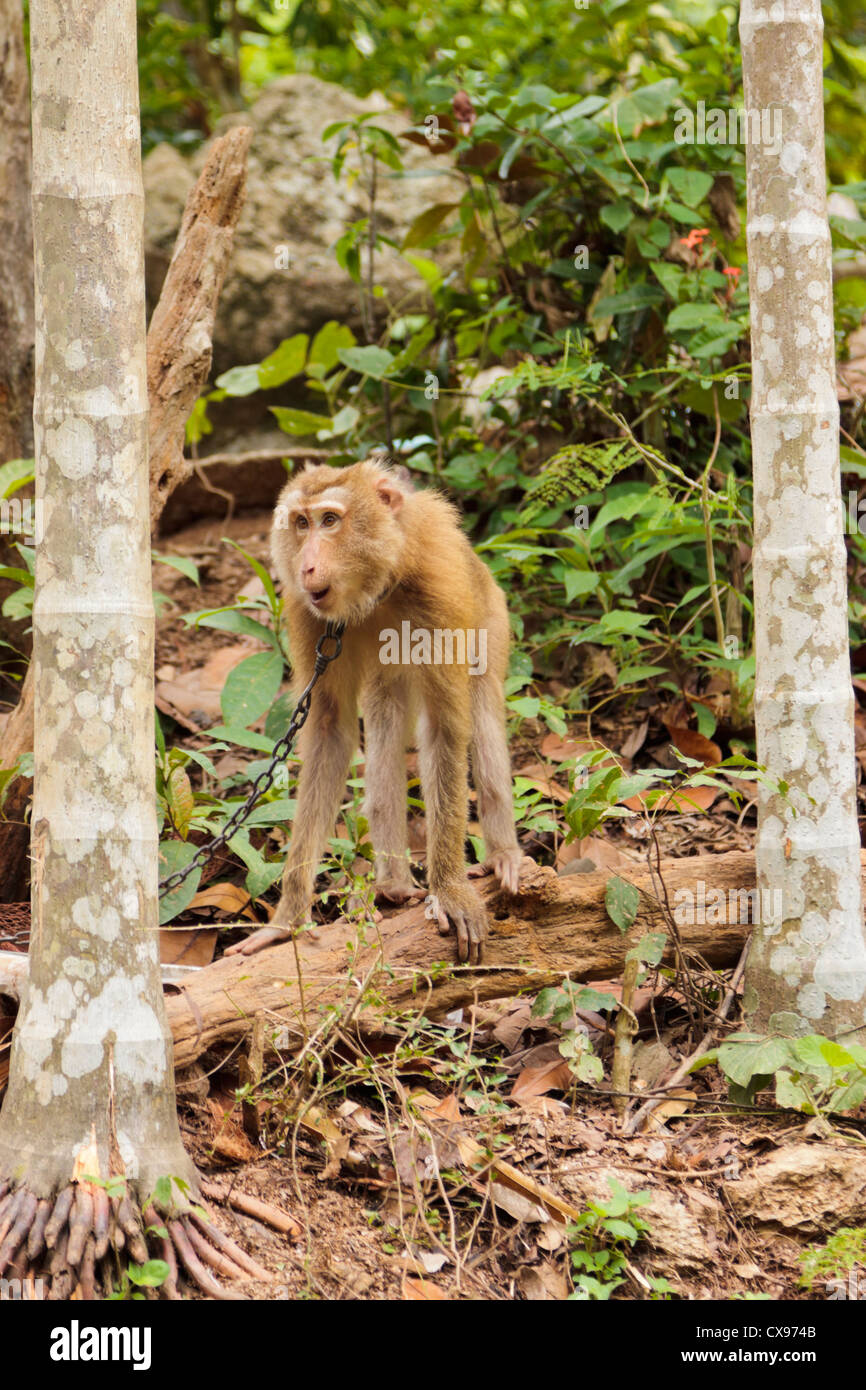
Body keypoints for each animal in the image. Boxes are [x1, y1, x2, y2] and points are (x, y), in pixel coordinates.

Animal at [225, 461, 522, 961]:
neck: (380, 586)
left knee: (481, 710)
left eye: (329, 520)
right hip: (388, 677)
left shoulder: (438, 596)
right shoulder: (310, 617)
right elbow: (329, 729)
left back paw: (502, 854)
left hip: (493, 616)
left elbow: (444, 728)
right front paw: (289, 917)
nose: (305, 565)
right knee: (385, 720)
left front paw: (450, 889)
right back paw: (393, 886)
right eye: (300, 523)